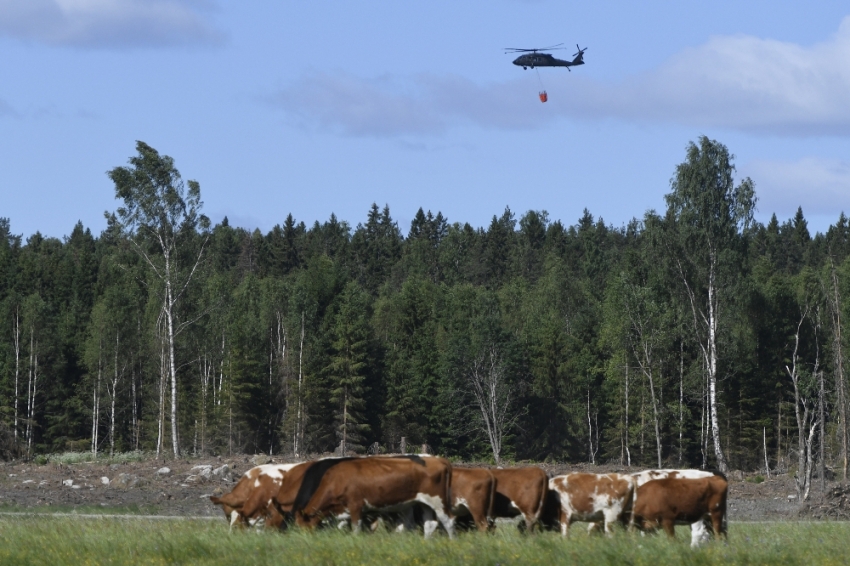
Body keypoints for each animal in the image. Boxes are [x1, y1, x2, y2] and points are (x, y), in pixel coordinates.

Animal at [286, 454, 458, 540]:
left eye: (302, 526)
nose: (302, 539)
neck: (336, 479)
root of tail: (438, 460)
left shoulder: (356, 505)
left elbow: (356, 528)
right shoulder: (343, 511)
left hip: (438, 500)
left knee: (448, 520)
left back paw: (452, 542)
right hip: (424, 503)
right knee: (430, 524)